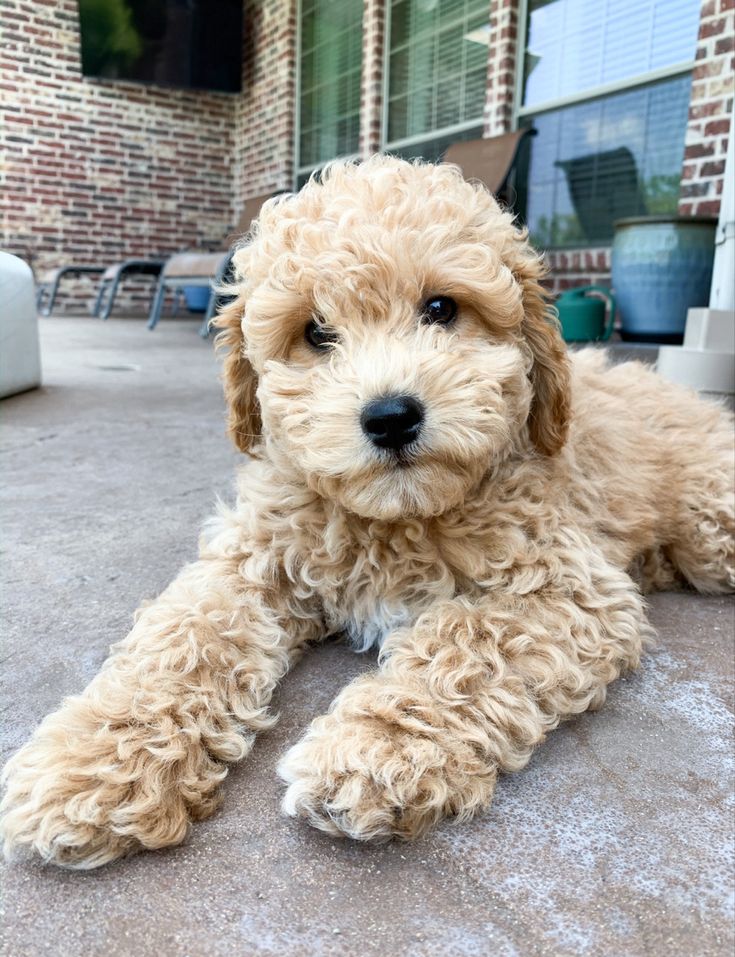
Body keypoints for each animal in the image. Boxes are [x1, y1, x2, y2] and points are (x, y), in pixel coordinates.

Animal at [1, 157, 735, 868]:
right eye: (315, 332)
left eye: (441, 307)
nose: (390, 416)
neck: (390, 518)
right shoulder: (248, 558)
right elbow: (183, 638)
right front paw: (96, 763)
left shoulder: (568, 586)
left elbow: (468, 643)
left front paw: (375, 750)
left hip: (711, 526)